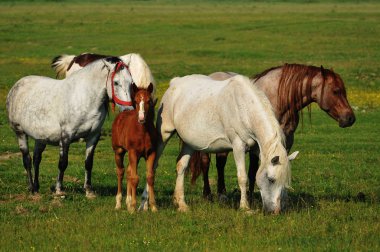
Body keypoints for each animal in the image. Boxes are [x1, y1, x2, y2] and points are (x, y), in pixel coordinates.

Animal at [5, 57, 134, 197]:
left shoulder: (93, 136)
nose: (128, 110)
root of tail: (16, 86)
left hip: (41, 138)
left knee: (36, 159)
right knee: (27, 160)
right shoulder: (66, 136)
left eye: (131, 82)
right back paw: (32, 189)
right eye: (116, 82)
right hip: (20, 133)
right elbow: (63, 163)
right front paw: (59, 190)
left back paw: (36, 187)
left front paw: (89, 190)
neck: (84, 98)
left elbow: (88, 163)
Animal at [111, 83, 157, 213]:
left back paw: (127, 201)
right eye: (135, 101)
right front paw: (132, 207)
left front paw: (153, 206)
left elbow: (150, 177)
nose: (141, 118)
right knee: (121, 172)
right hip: (119, 151)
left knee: (128, 171)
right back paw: (118, 203)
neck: (143, 133)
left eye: (149, 101)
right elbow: (135, 178)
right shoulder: (133, 152)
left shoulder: (151, 153)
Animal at [144, 74, 298, 214]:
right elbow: (243, 177)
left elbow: (252, 173)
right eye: (271, 180)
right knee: (153, 166)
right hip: (164, 135)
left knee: (181, 166)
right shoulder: (238, 146)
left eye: (284, 182)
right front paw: (245, 207)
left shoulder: (257, 150)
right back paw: (146, 205)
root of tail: (174, 82)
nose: (275, 211)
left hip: (189, 143)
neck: (244, 107)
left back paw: (181, 204)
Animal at [191, 64, 354, 201]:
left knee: (220, 164)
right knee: (208, 164)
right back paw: (210, 195)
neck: (275, 100)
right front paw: (252, 198)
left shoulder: (284, 145)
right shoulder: (256, 147)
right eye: (335, 91)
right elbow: (252, 172)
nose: (350, 118)